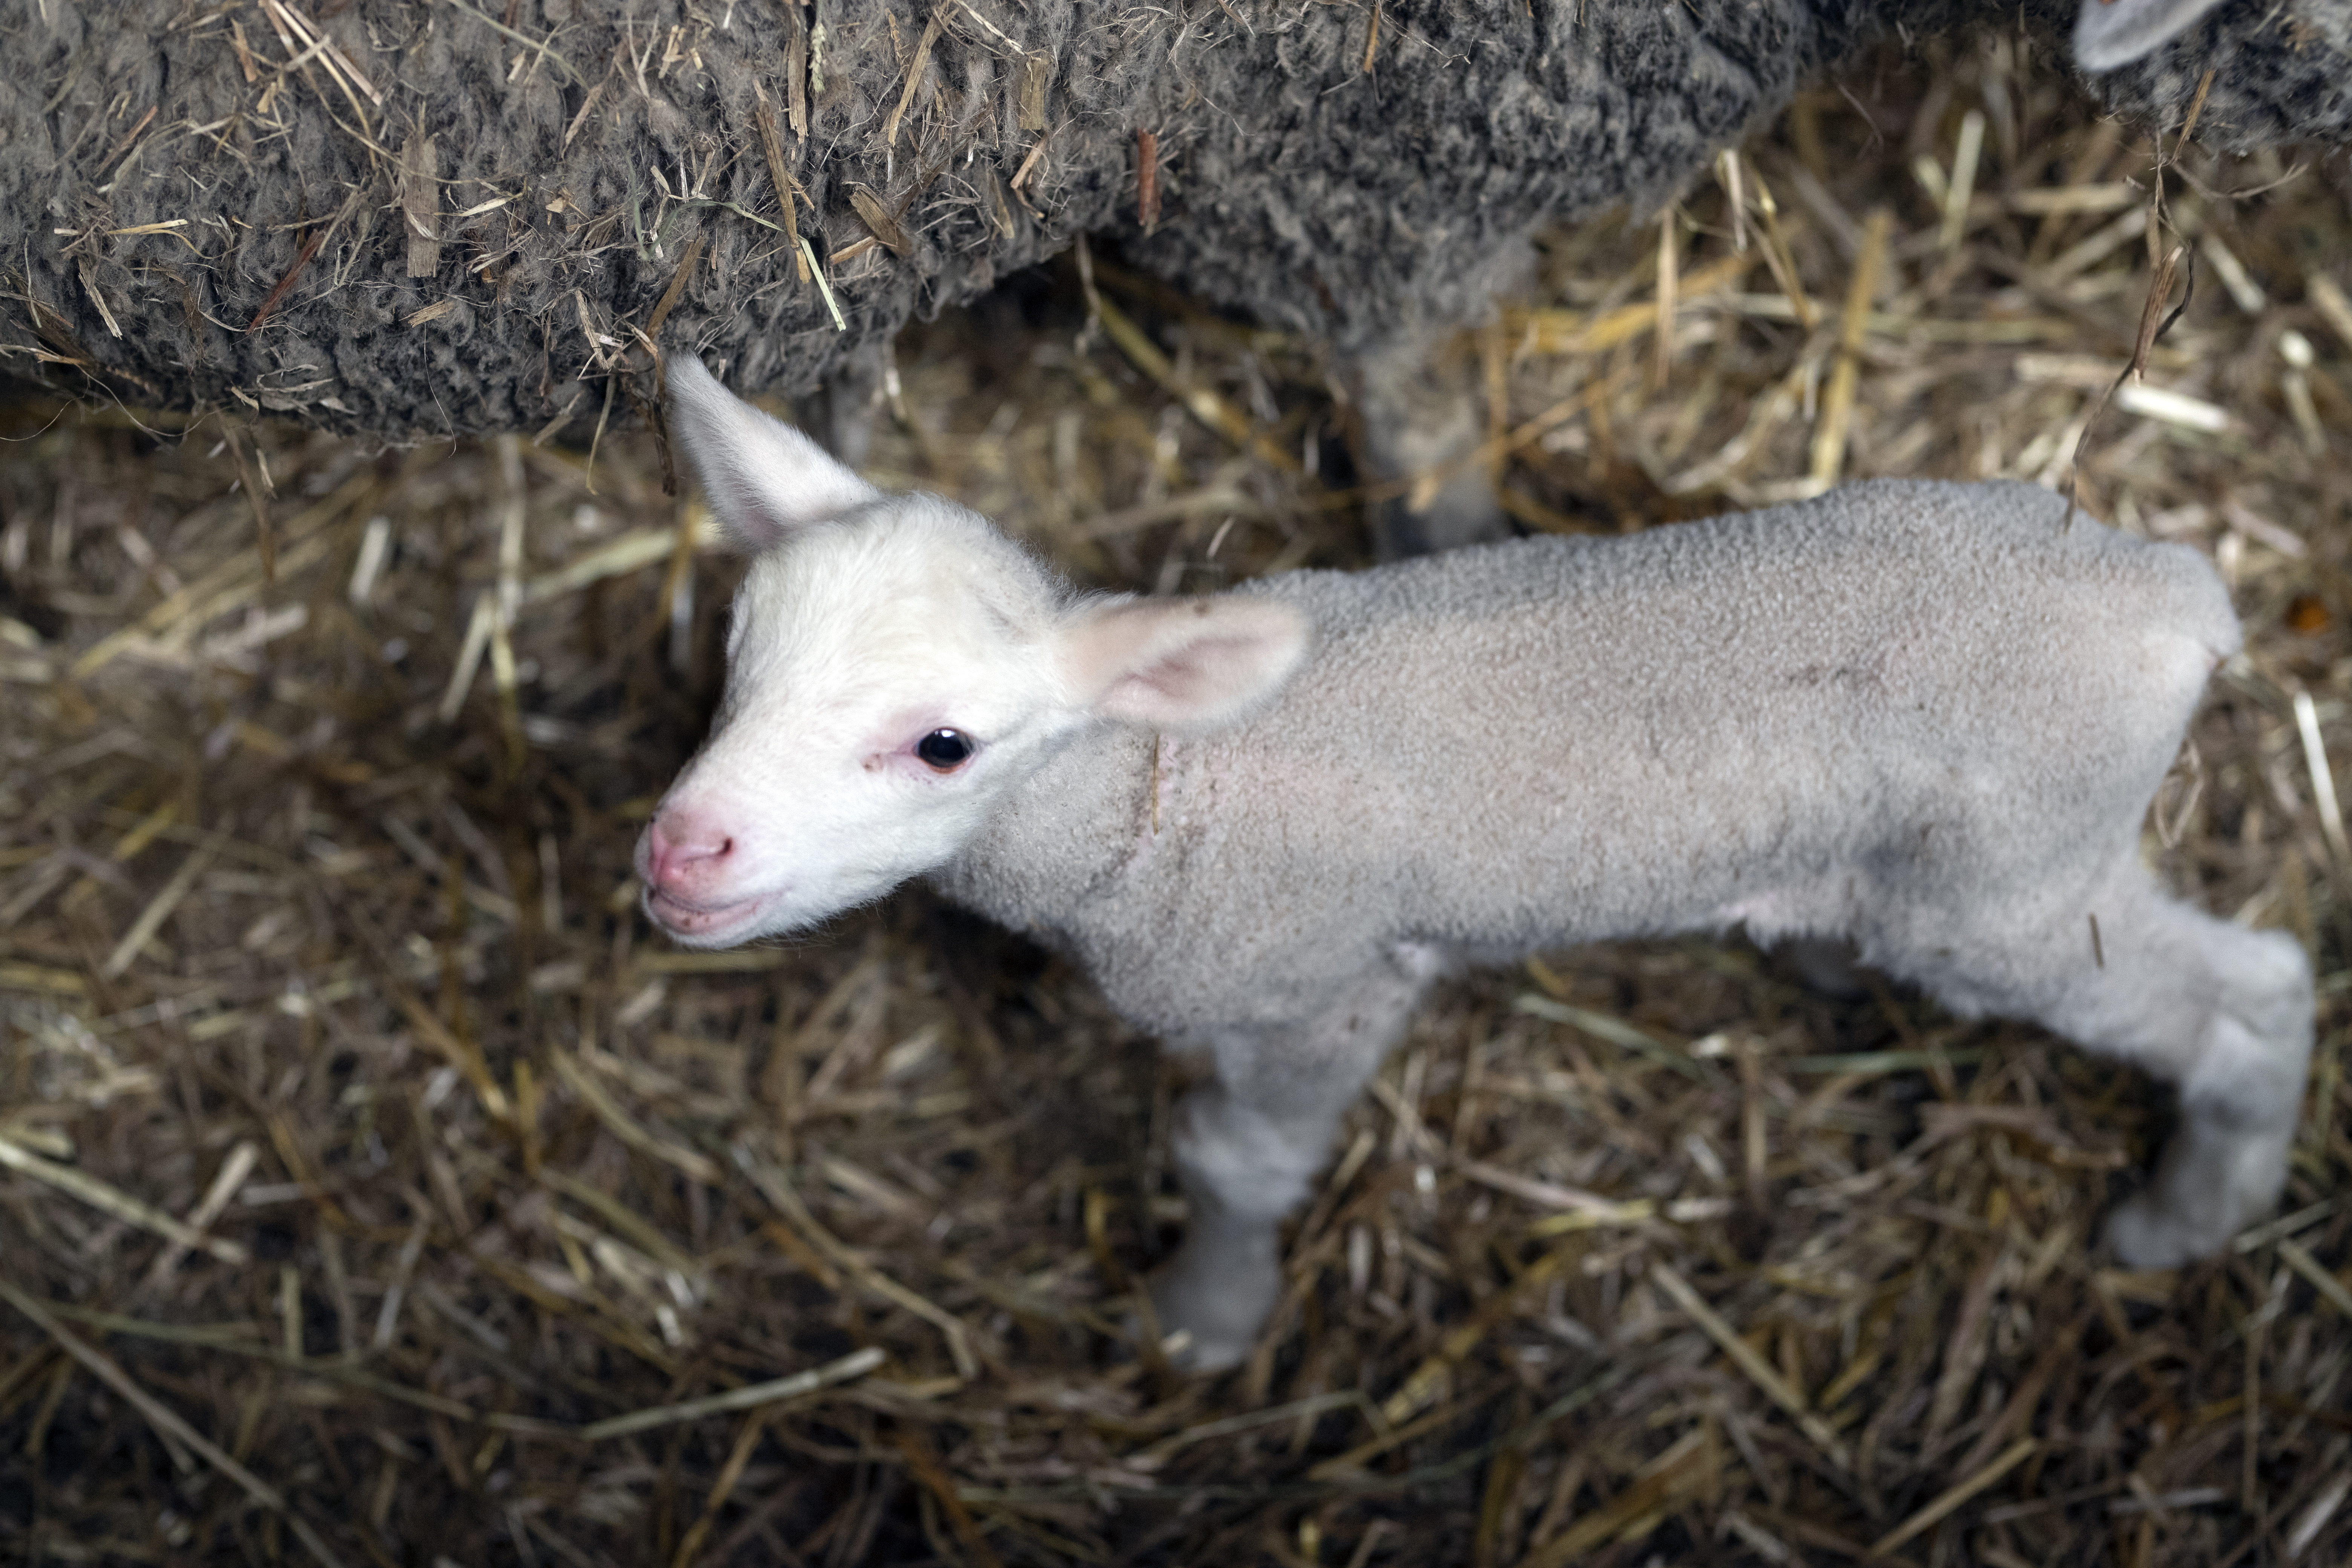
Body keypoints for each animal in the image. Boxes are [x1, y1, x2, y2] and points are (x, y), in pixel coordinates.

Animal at [640, 355, 2314, 1373]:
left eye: (944, 745)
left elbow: (1235, 1159)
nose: (679, 850)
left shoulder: (1325, 985)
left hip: (2012, 884)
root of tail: (2179, 595)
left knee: (2260, 990)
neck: (1158, 789)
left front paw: (1204, 1318)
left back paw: (2188, 1217)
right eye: (737, 655)